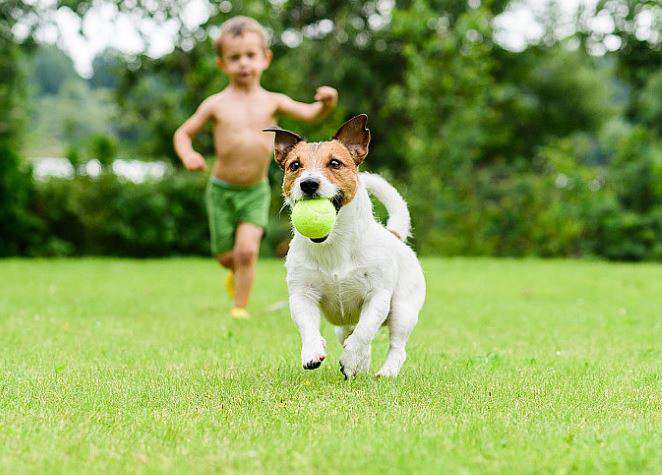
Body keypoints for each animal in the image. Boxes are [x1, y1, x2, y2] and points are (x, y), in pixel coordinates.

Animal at [264, 115, 426, 380]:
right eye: (295, 165)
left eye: (335, 163)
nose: (308, 183)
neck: (333, 244)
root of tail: (395, 234)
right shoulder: (302, 294)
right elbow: (308, 326)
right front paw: (312, 353)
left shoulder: (377, 297)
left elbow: (364, 332)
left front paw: (350, 360)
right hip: (345, 324)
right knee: (352, 335)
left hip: (403, 310)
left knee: (395, 346)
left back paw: (385, 372)